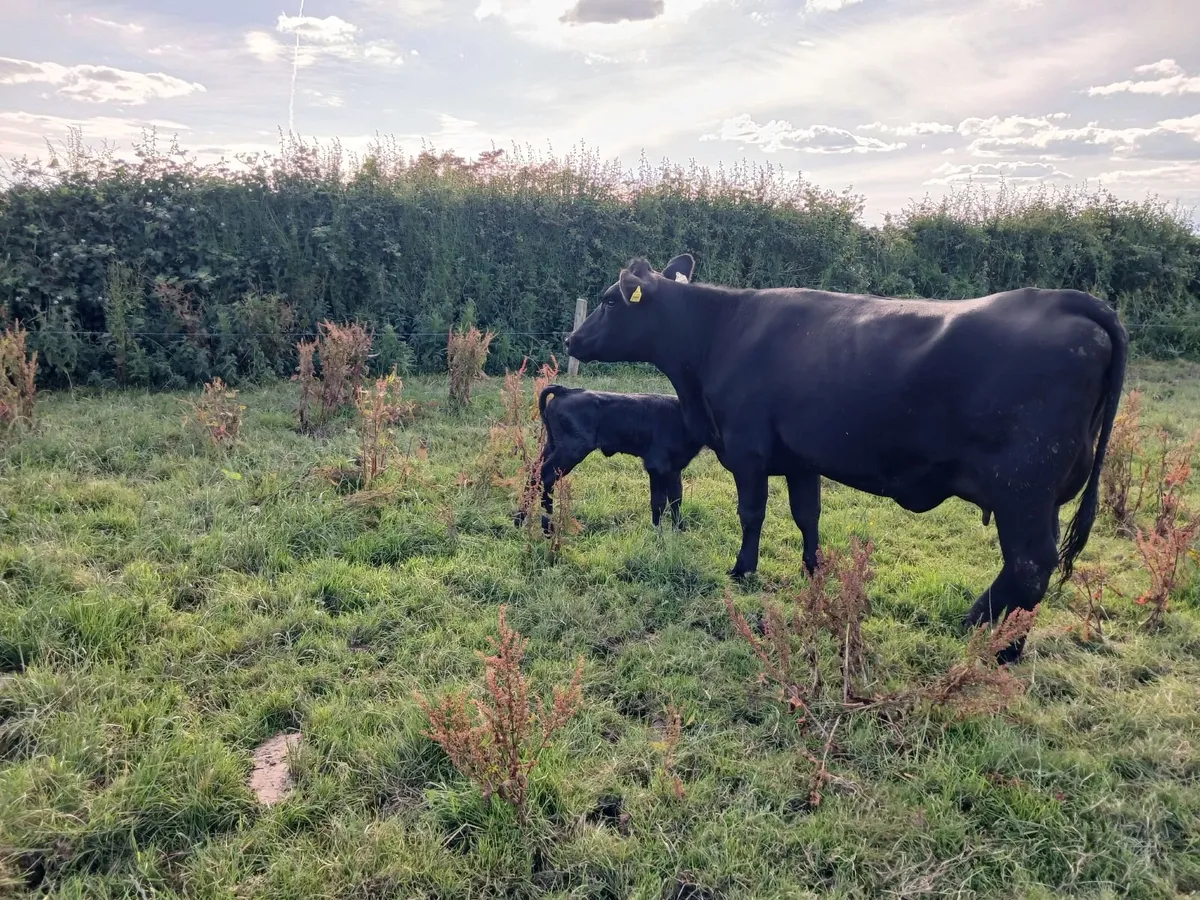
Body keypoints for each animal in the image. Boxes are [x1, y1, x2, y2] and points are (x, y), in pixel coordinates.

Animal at [515, 384, 704, 533]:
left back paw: (520, 521)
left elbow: (676, 499)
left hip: (552, 446)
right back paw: (548, 528)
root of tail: (565, 391)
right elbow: (658, 502)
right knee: (545, 476)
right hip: (570, 451)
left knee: (535, 473)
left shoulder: (674, 469)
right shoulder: (656, 466)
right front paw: (659, 535)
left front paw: (679, 532)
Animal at [564, 253, 1128, 662]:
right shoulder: (800, 458)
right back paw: (987, 629)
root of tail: (1066, 302)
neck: (718, 335)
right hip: (1039, 495)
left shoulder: (747, 449)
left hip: (1022, 489)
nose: (571, 338)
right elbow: (806, 515)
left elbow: (752, 514)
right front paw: (813, 571)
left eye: (610, 301)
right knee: (1027, 567)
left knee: (1030, 565)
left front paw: (743, 570)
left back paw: (999, 646)